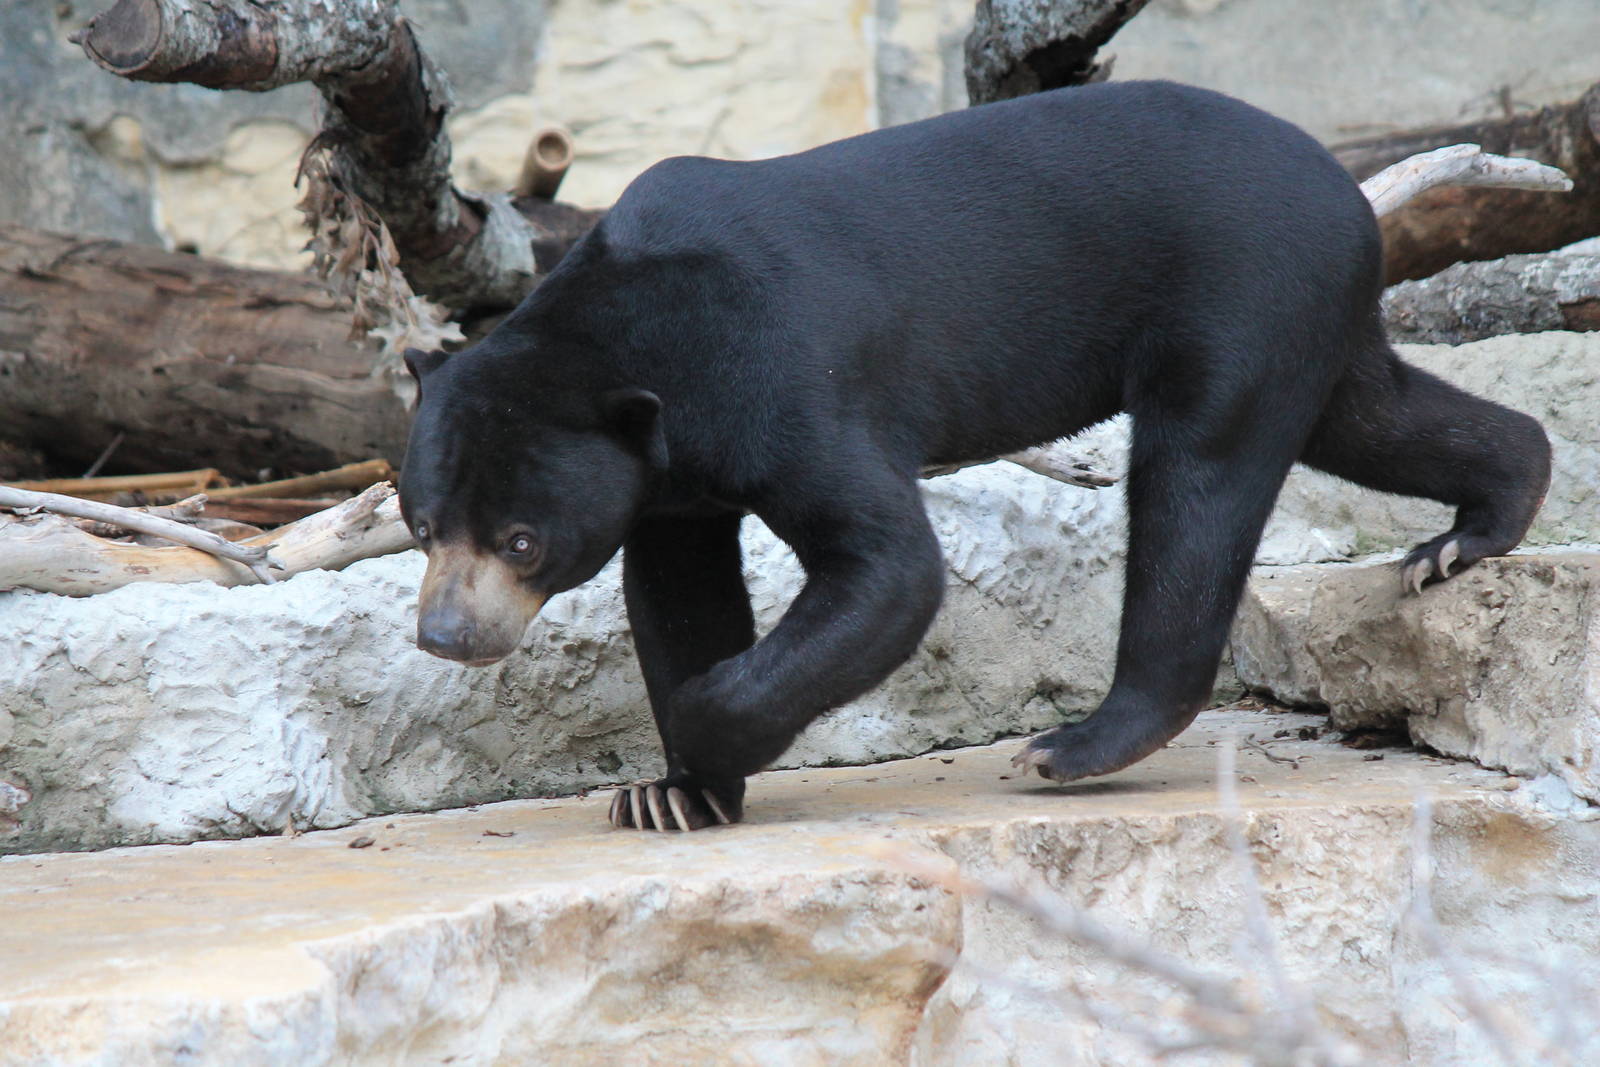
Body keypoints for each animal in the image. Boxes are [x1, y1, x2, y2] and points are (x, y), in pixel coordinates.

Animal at [399, 81, 1551, 832]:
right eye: (422, 523)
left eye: (522, 539)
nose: (445, 636)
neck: (650, 341)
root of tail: (1347, 189)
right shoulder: (673, 478)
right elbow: (680, 592)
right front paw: (671, 794)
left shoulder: (788, 380)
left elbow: (888, 565)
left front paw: (701, 736)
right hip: (1306, 315)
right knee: (1371, 412)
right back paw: (1471, 530)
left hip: (1239, 299)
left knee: (1197, 487)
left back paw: (1075, 743)